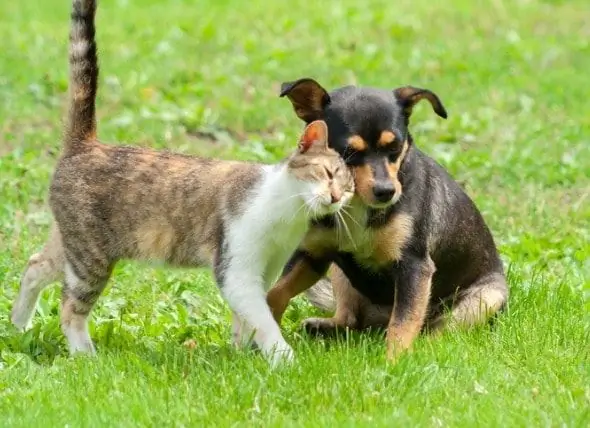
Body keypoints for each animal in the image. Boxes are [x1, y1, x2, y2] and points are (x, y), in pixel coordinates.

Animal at [10, 0, 356, 368]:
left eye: (349, 189)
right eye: (328, 173)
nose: (336, 196)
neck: (288, 215)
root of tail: (86, 143)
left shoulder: (266, 270)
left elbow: (245, 321)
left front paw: (241, 354)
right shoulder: (236, 271)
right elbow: (262, 320)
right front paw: (284, 359)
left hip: (73, 243)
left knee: (34, 266)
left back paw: (19, 326)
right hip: (91, 257)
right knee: (69, 309)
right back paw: (85, 356)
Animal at [266, 77, 512, 362]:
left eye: (395, 147)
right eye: (348, 152)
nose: (386, 191)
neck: (357, 205)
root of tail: (377, 320)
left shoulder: (414, 266)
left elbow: (403, 323)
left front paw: (393, 364)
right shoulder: (313, 255)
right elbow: (275, 293)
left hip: (484, 299)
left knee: (436, 330)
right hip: (340, 275)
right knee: (351, 319)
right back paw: (324, 326)